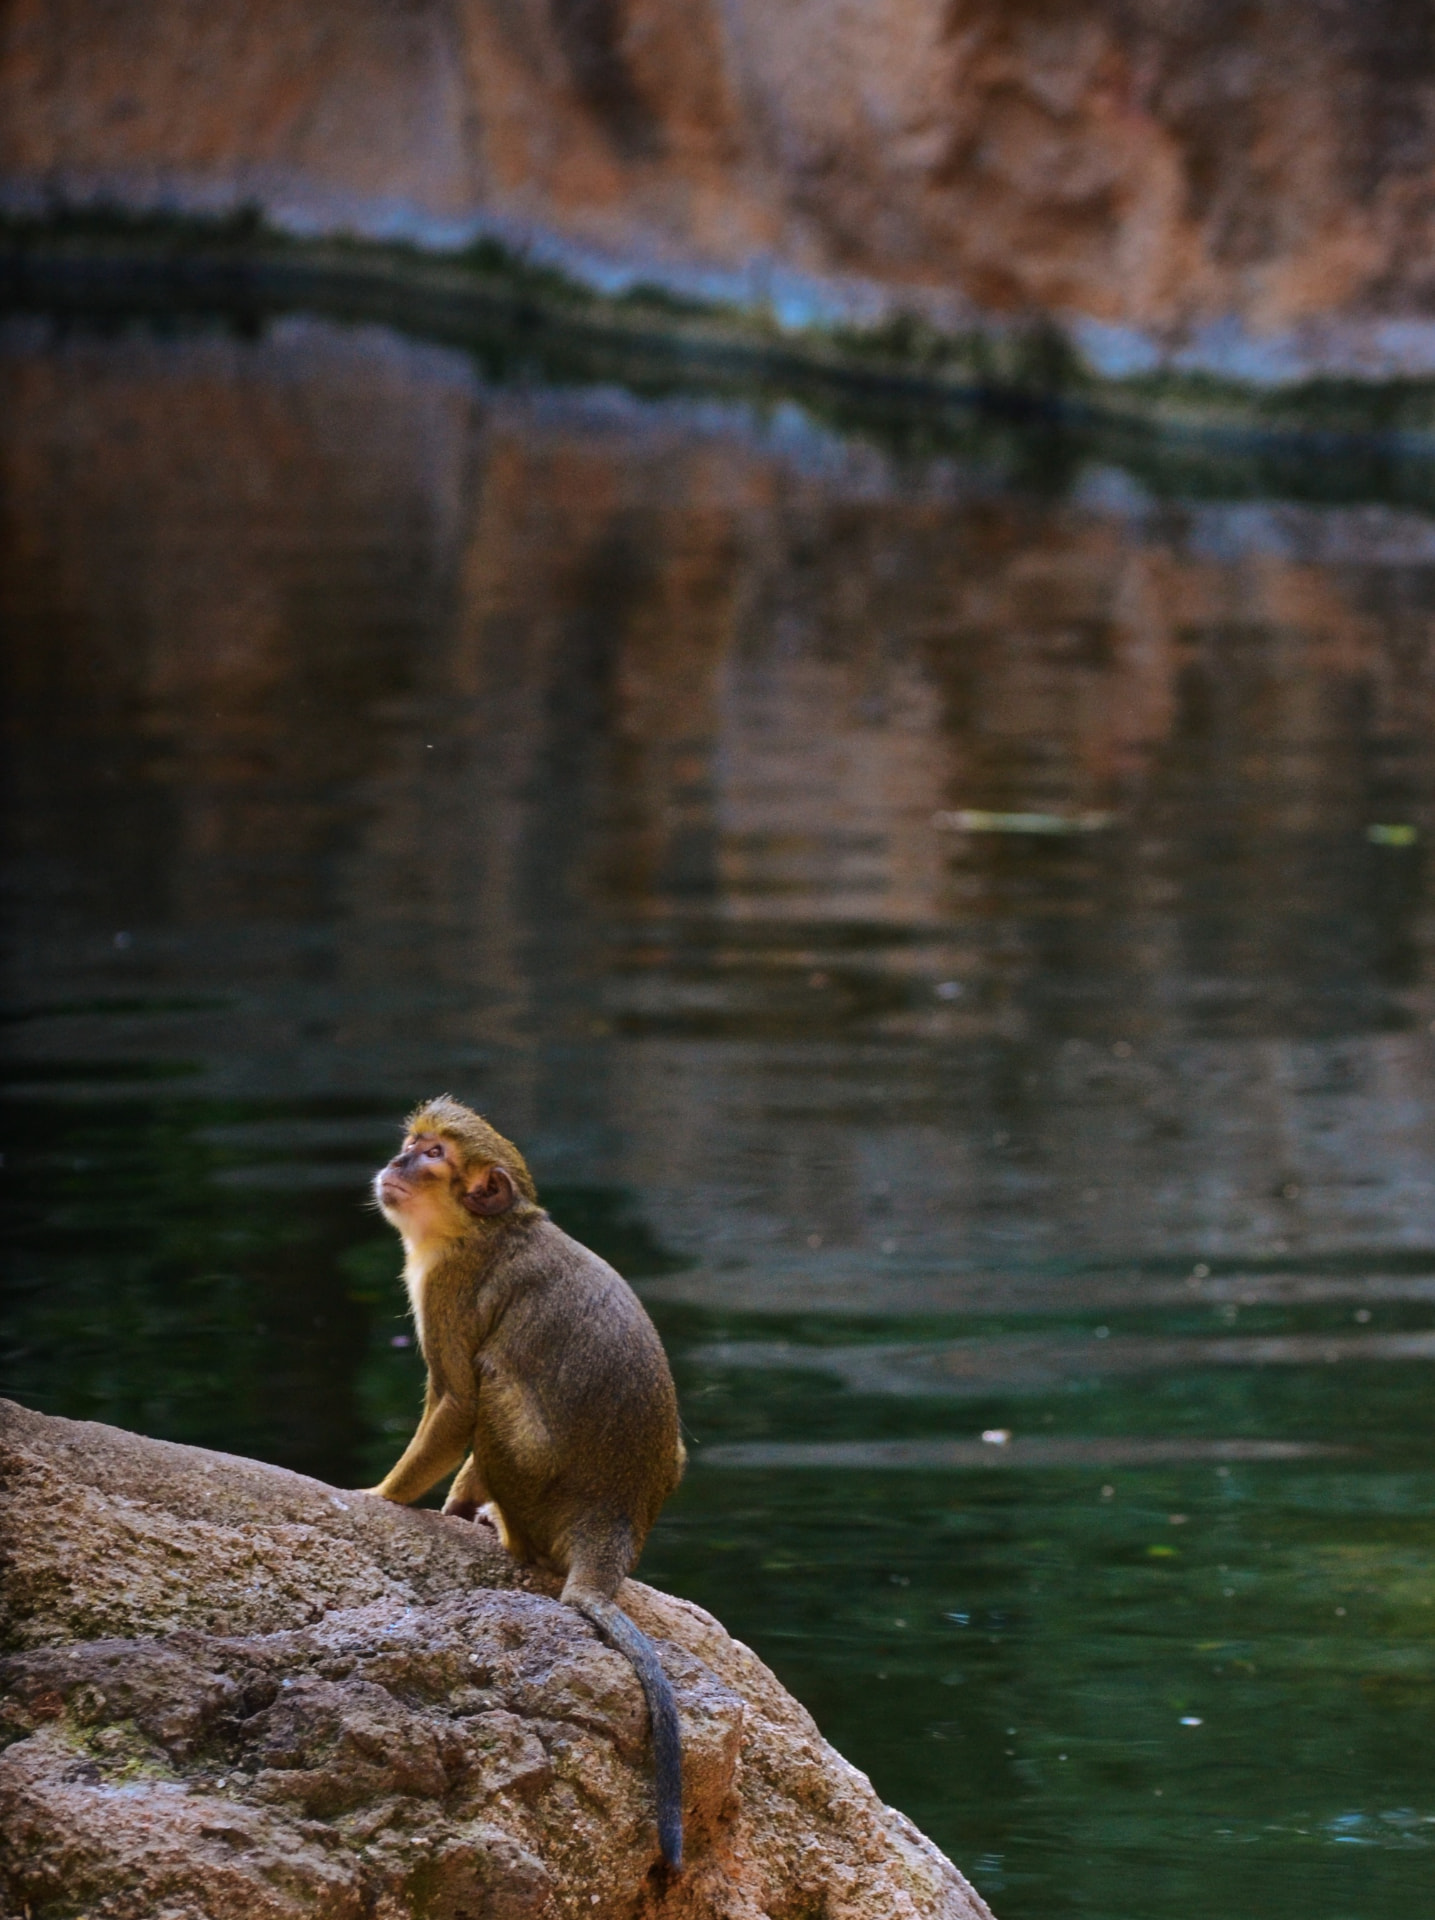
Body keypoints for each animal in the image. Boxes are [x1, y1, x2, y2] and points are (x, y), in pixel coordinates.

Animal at [364, 1096, 687, 1870]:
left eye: (432, 1155)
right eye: (413, 1144)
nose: (396, 1162)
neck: (487, 1228)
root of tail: (613, 1526)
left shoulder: (451, 1286)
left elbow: (458, 1401)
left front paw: (381, 1498)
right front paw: (454, 1505)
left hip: (535, 1485)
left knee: (492, 1378)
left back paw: (514, 1538)